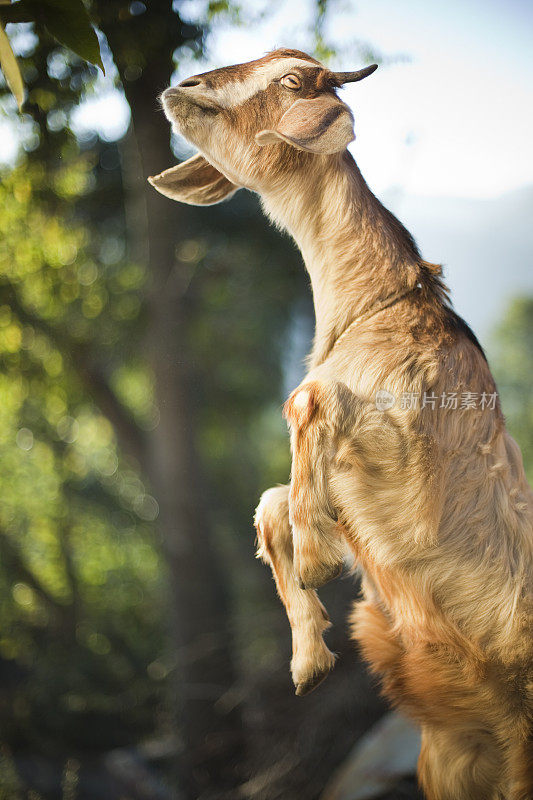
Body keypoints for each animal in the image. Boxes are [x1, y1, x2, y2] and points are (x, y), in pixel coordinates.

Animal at [149, 50, 532, 800]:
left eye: (294, 80)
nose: (183, 86)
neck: (374, 306)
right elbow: (272, 503)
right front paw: (308, 657)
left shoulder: (410, 451)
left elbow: (307, 400)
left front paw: (317, 559)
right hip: (449, 757)